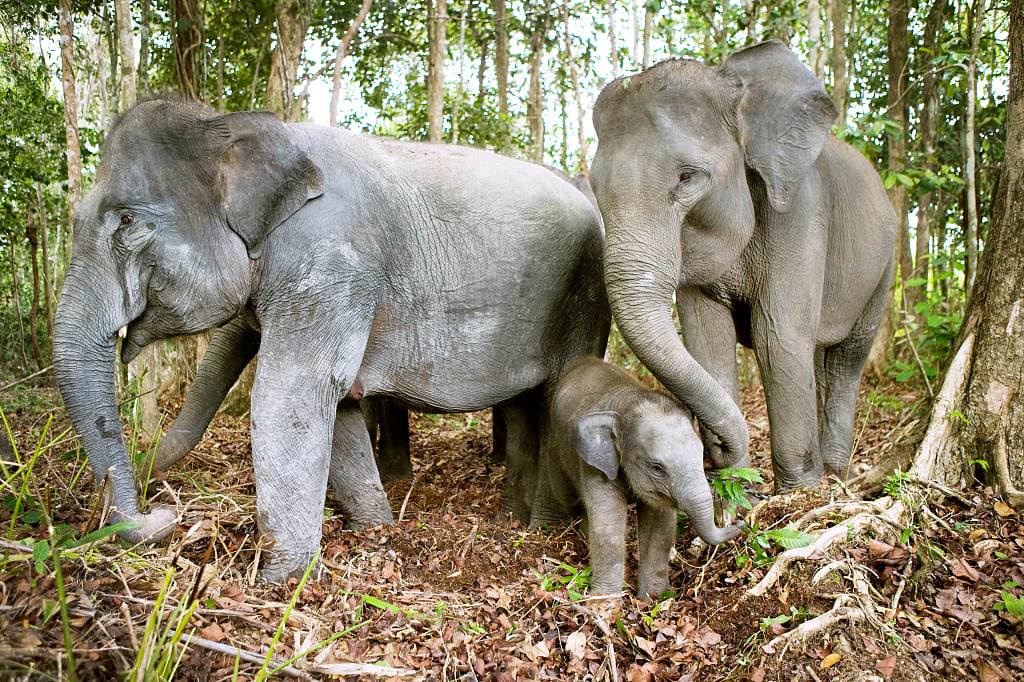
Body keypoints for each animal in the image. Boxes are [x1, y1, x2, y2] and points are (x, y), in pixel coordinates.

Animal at [53, 99, 610, 581]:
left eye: (128, 221)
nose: (161, 510)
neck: (237, 127)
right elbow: (336, 405)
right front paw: (376, 532)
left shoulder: (330, 261)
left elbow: (290, 396)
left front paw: (282, 584)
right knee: (523, 405)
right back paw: (512, 519)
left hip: (583, 301)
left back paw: (541, 530)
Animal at [529, 357, 743, 596]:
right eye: (657, 468)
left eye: (700, 454)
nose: (740, 522)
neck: (628, 402)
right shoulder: (595, 466)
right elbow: (608, 525)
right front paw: (604, 601)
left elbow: (660, 528)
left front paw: (655, 598)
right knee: (565, 493)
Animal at [589, 41, 897, 491]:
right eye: (595, 187)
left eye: (687, 177)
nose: (715, 447)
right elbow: (707, 339)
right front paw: (738, 488)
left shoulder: (801, 210)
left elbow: (778, 336)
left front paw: (799, 494)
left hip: (883, 268)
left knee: (848, 357)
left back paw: (835, 473)